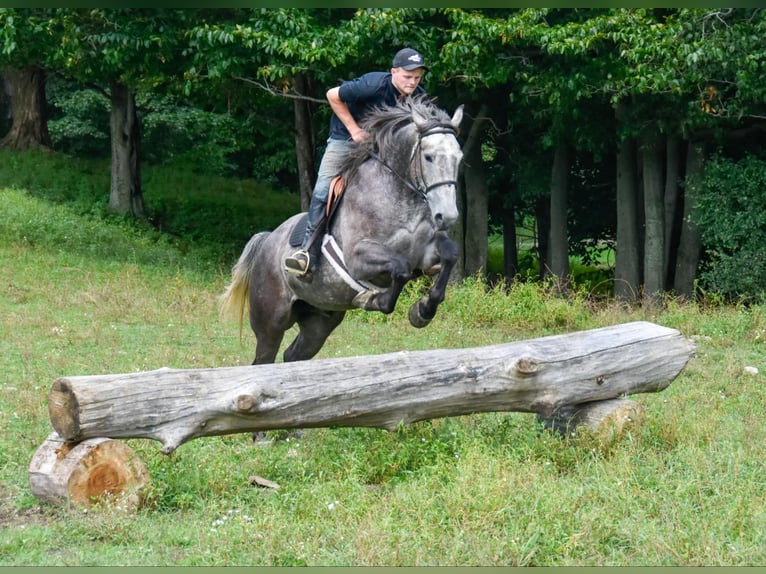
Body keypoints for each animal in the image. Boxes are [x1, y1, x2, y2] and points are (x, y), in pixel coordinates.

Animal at [219, 95, 464, 364]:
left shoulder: (425, 252)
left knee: (293, 354)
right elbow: (400, 269)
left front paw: (422, 311)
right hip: (270, 322)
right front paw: (375, 299)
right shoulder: (358, 258)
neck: (400, 195)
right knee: (264, 358)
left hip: (319, 321)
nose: (447, 216)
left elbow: (449, 255)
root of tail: (267, 241)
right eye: (428, 157)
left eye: (459, 158)